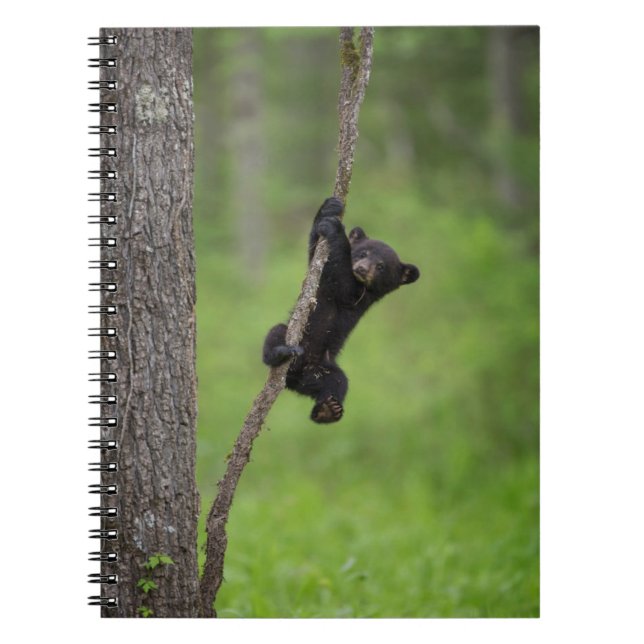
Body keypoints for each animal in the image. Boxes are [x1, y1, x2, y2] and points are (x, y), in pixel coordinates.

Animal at [262, 196, 420, 423]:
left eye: (381, 266)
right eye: (363, 253)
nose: (362, 268)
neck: (362, 283)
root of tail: (295, 379)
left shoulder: (359, 297)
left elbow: (343, 284)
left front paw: (336, 229)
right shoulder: (320, 276)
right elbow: (315, 251)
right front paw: (329, 208)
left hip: (325, 367)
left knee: (338, 382)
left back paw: (328, 410)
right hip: (294, 340)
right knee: (276, 333)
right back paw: (281, 351)